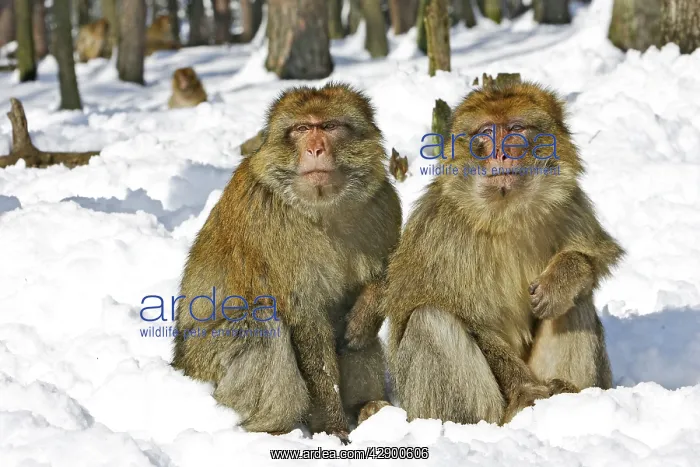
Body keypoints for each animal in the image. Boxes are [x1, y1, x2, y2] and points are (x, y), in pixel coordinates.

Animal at [171, 82, 403, 442]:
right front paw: (333, 430)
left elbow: (389, 272)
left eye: (329, 126)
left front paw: (364, 314)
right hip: (206, 362)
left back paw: (369, 407)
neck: (322, 209)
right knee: (260, 323)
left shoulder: (383, 203)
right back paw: (272, 428)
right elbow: (306, 322)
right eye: (302, 129)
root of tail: (179, 363)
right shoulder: (270, 225)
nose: (316, 149)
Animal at [384, 81, 624, 426]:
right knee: (430, 320)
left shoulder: (570, 203)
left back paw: (571, 396)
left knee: (577, 301)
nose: (501, 153)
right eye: (486, 132)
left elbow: (595, 258)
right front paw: (525, 389)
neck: (506, 213)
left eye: (515, 129)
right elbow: (468, 319)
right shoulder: (442, 233)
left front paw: (562, 279)